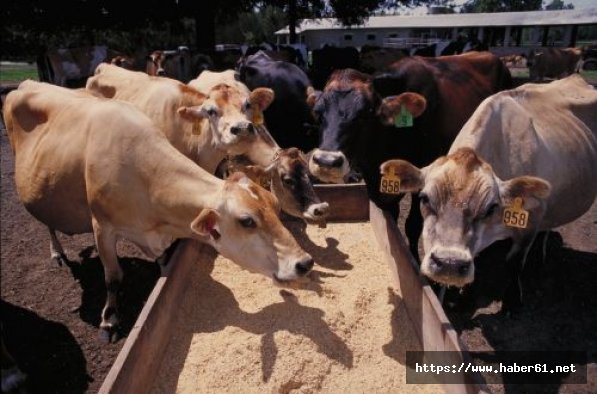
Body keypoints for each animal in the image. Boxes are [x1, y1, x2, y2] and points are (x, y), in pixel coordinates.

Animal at [382, 74, 596, 308]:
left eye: (491, 207)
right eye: (425, 198)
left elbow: (514, 263)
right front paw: (465, 299)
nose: (449, 264)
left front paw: (512, 300)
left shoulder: (531, 222)